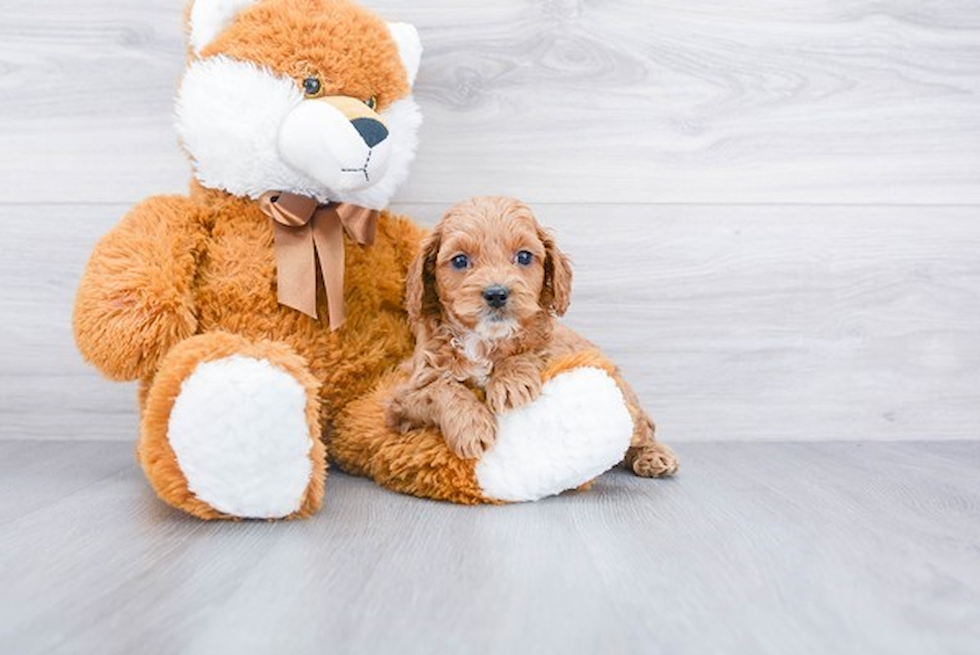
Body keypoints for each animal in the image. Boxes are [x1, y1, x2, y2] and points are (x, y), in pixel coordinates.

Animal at [386, 195, 676, 476]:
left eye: (524, 257)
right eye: (459, 260)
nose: (496, 294)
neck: (485, 341)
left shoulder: (553, 350)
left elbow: (531, 351)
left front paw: (510, 383)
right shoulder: (400, 398)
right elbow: (440, 388)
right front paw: (472, 426)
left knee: (642, 428)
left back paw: (654, 456)